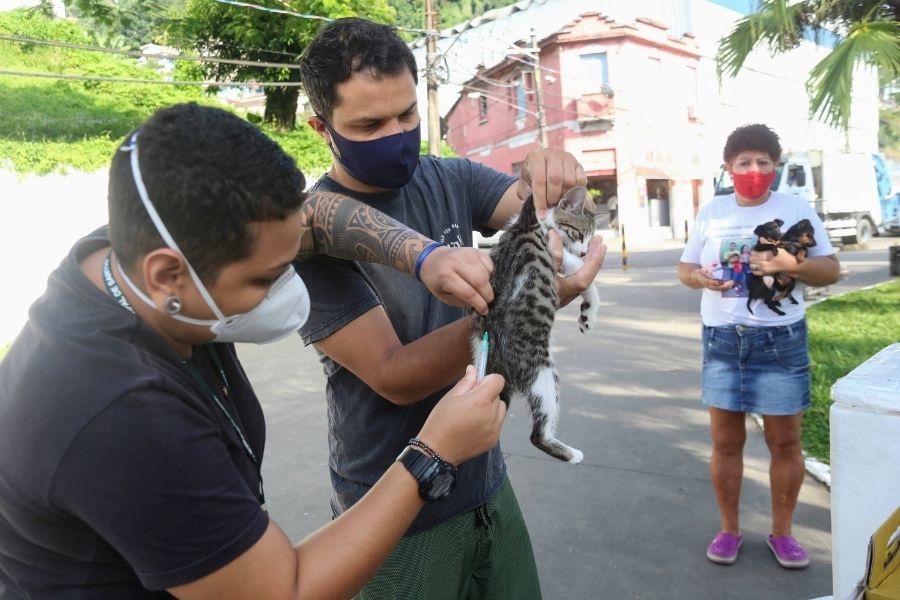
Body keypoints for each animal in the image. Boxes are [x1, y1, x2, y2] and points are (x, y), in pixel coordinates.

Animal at [472, 188, 596, 464]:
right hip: (542, 372)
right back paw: (571, 454)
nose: (585, 252)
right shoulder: (554, 247)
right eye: (580, 234)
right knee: (537, 435)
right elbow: (583, 274)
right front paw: (590, 311)